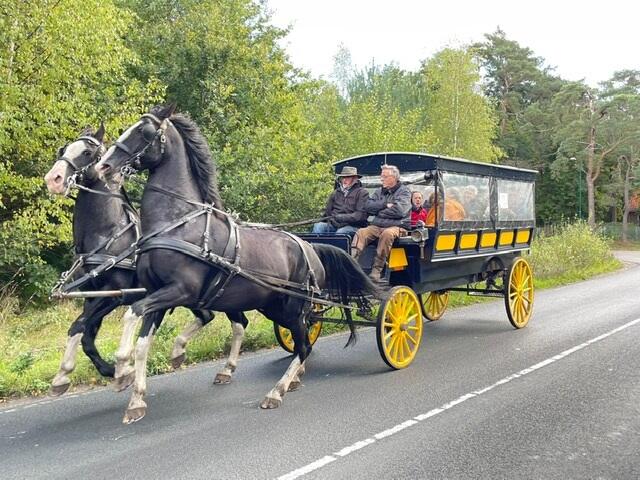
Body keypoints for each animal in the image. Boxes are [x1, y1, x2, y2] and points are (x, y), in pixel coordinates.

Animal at [44, 126, 247, 396]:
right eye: (63, 150)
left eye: (87, 152)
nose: (53, 179)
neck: (108, 234)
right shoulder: (93, 296)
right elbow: (86, 335)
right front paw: (108, 370)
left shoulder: (115, 294)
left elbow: (78, 326)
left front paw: (112, 371)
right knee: (208, 317)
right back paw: (179, 352)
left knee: (239, 323)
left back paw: (227, 368)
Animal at [95, 104, 382, 423]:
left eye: (144, 132)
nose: (104, 167)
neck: (178, 224)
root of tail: (309, 246)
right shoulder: (156, 294)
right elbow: (143, 342)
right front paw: (136, 397)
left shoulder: (179, 291)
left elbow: (131, 313)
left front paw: (122, 369)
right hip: (276, 307)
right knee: (302, 338)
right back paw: (293, 378)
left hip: (293, 306)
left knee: (304, 345)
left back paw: (276, 392)